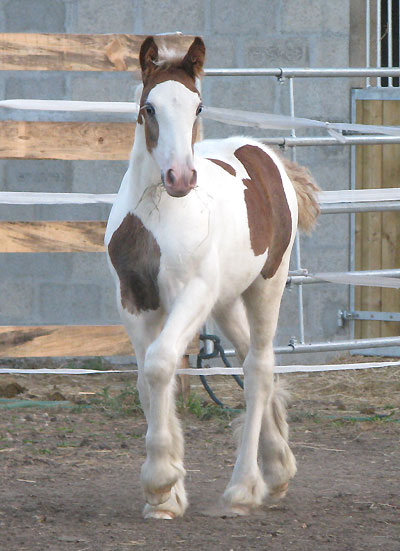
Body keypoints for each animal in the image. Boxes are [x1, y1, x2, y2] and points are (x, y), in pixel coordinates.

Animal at [105, 36, 318, 520]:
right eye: (149, 107)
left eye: (198, 106)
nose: (180, 177)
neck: (158, 213)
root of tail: (264, 153)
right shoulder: (134, 301)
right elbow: (147, 380)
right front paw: (168, 498)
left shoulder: (192, 295)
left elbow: (162, 364)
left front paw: (161, 481)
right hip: (226, 302)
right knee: (250, 358)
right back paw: (277, 470)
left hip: (266, 287)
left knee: (258, 369)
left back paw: (243, 489)